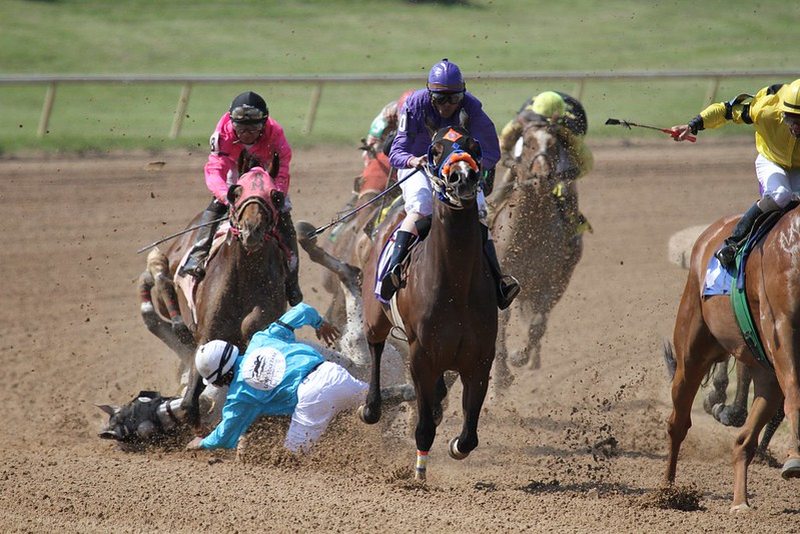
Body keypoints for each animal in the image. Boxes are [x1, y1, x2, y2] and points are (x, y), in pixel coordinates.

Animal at [138, 170, 288, 430]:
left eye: (274, 195)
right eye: (236, 192)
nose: (252, 229)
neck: (244, 278)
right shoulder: (208, 337)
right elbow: (189, 403)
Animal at [360, 127, 496, 484]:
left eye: (475, 146)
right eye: (434, 150)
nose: (463, 177)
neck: (456, 286)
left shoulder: (480, 359)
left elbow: (469, 435)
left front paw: (455, 445)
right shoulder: (420, 356)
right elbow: (422, 427)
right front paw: (419, 473)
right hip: (375, 317)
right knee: (375, 347)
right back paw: (371, 407)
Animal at [490, 116, 580, 390]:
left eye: (552, 145)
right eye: (527, 143)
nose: (542, 176)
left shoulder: (548, 282)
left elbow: (537, 324)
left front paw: (519, 356)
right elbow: (501, 323)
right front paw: (502, 376)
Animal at [664, 207, 800, 512]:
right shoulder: (782, 329)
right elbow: (795, 393)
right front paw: (795, 457)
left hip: (766, 375)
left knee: (743, 441)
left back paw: (740, 502)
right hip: (691, 352)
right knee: (678, 422)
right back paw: (667, 492)